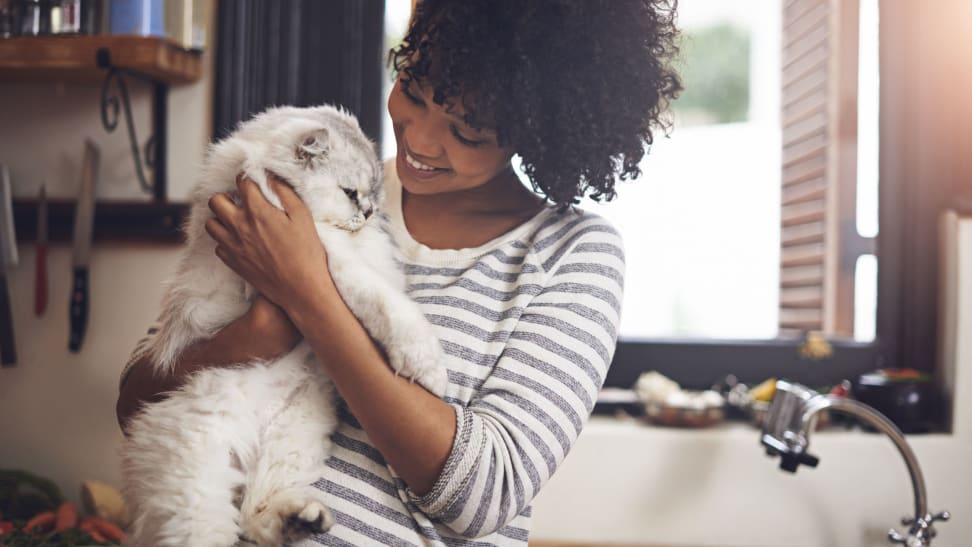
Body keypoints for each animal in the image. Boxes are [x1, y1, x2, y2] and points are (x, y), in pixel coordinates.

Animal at [122, 106, 452, 547]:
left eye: (373, 195)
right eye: (351, 193)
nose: (367, 213)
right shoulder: (327, 258)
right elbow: (388, 306)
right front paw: (428, 369)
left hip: (296, 434)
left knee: (254, 512)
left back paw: (302, 519)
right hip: (198, 473)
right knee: (219, 525)